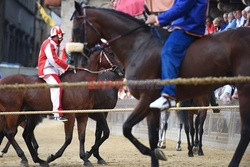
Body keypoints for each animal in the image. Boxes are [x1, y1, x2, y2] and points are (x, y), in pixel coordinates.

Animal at [73, 2, 250, 167]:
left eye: (76, 28)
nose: (76, 59)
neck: (140, 46)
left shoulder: (146, 99)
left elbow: (125, 128)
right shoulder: (150, 106)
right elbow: (150, 137)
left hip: (241, 92)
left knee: (241, 130)